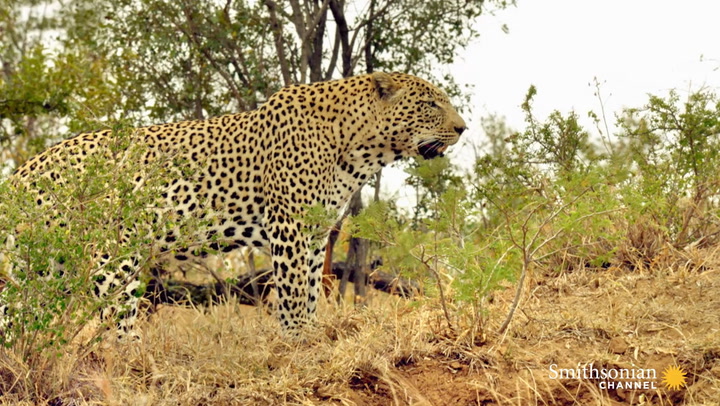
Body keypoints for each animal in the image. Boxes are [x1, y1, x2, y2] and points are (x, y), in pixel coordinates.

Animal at [0, 72, 466, 340]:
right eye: (430, 103)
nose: (463, 128)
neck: (360, 147)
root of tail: (24, 171)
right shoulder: (290, 227)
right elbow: (293, 292)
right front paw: (298, 342)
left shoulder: (316, 232)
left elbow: (311, 289)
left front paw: (311, 334)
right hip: (108, 260)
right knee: (116, 324)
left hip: (50, 267)